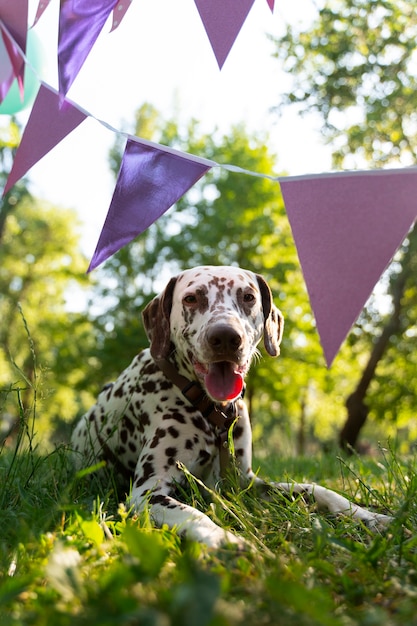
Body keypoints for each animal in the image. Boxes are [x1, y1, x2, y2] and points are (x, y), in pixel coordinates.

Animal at [72, 264, 394, 544]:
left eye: (248, 297)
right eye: (191, 298)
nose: (226, 336)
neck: (211, 410)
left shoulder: (244, 482)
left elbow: (320, 490)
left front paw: (368, 516)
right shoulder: (148, 493)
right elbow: (194, 515)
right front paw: (227, 543)